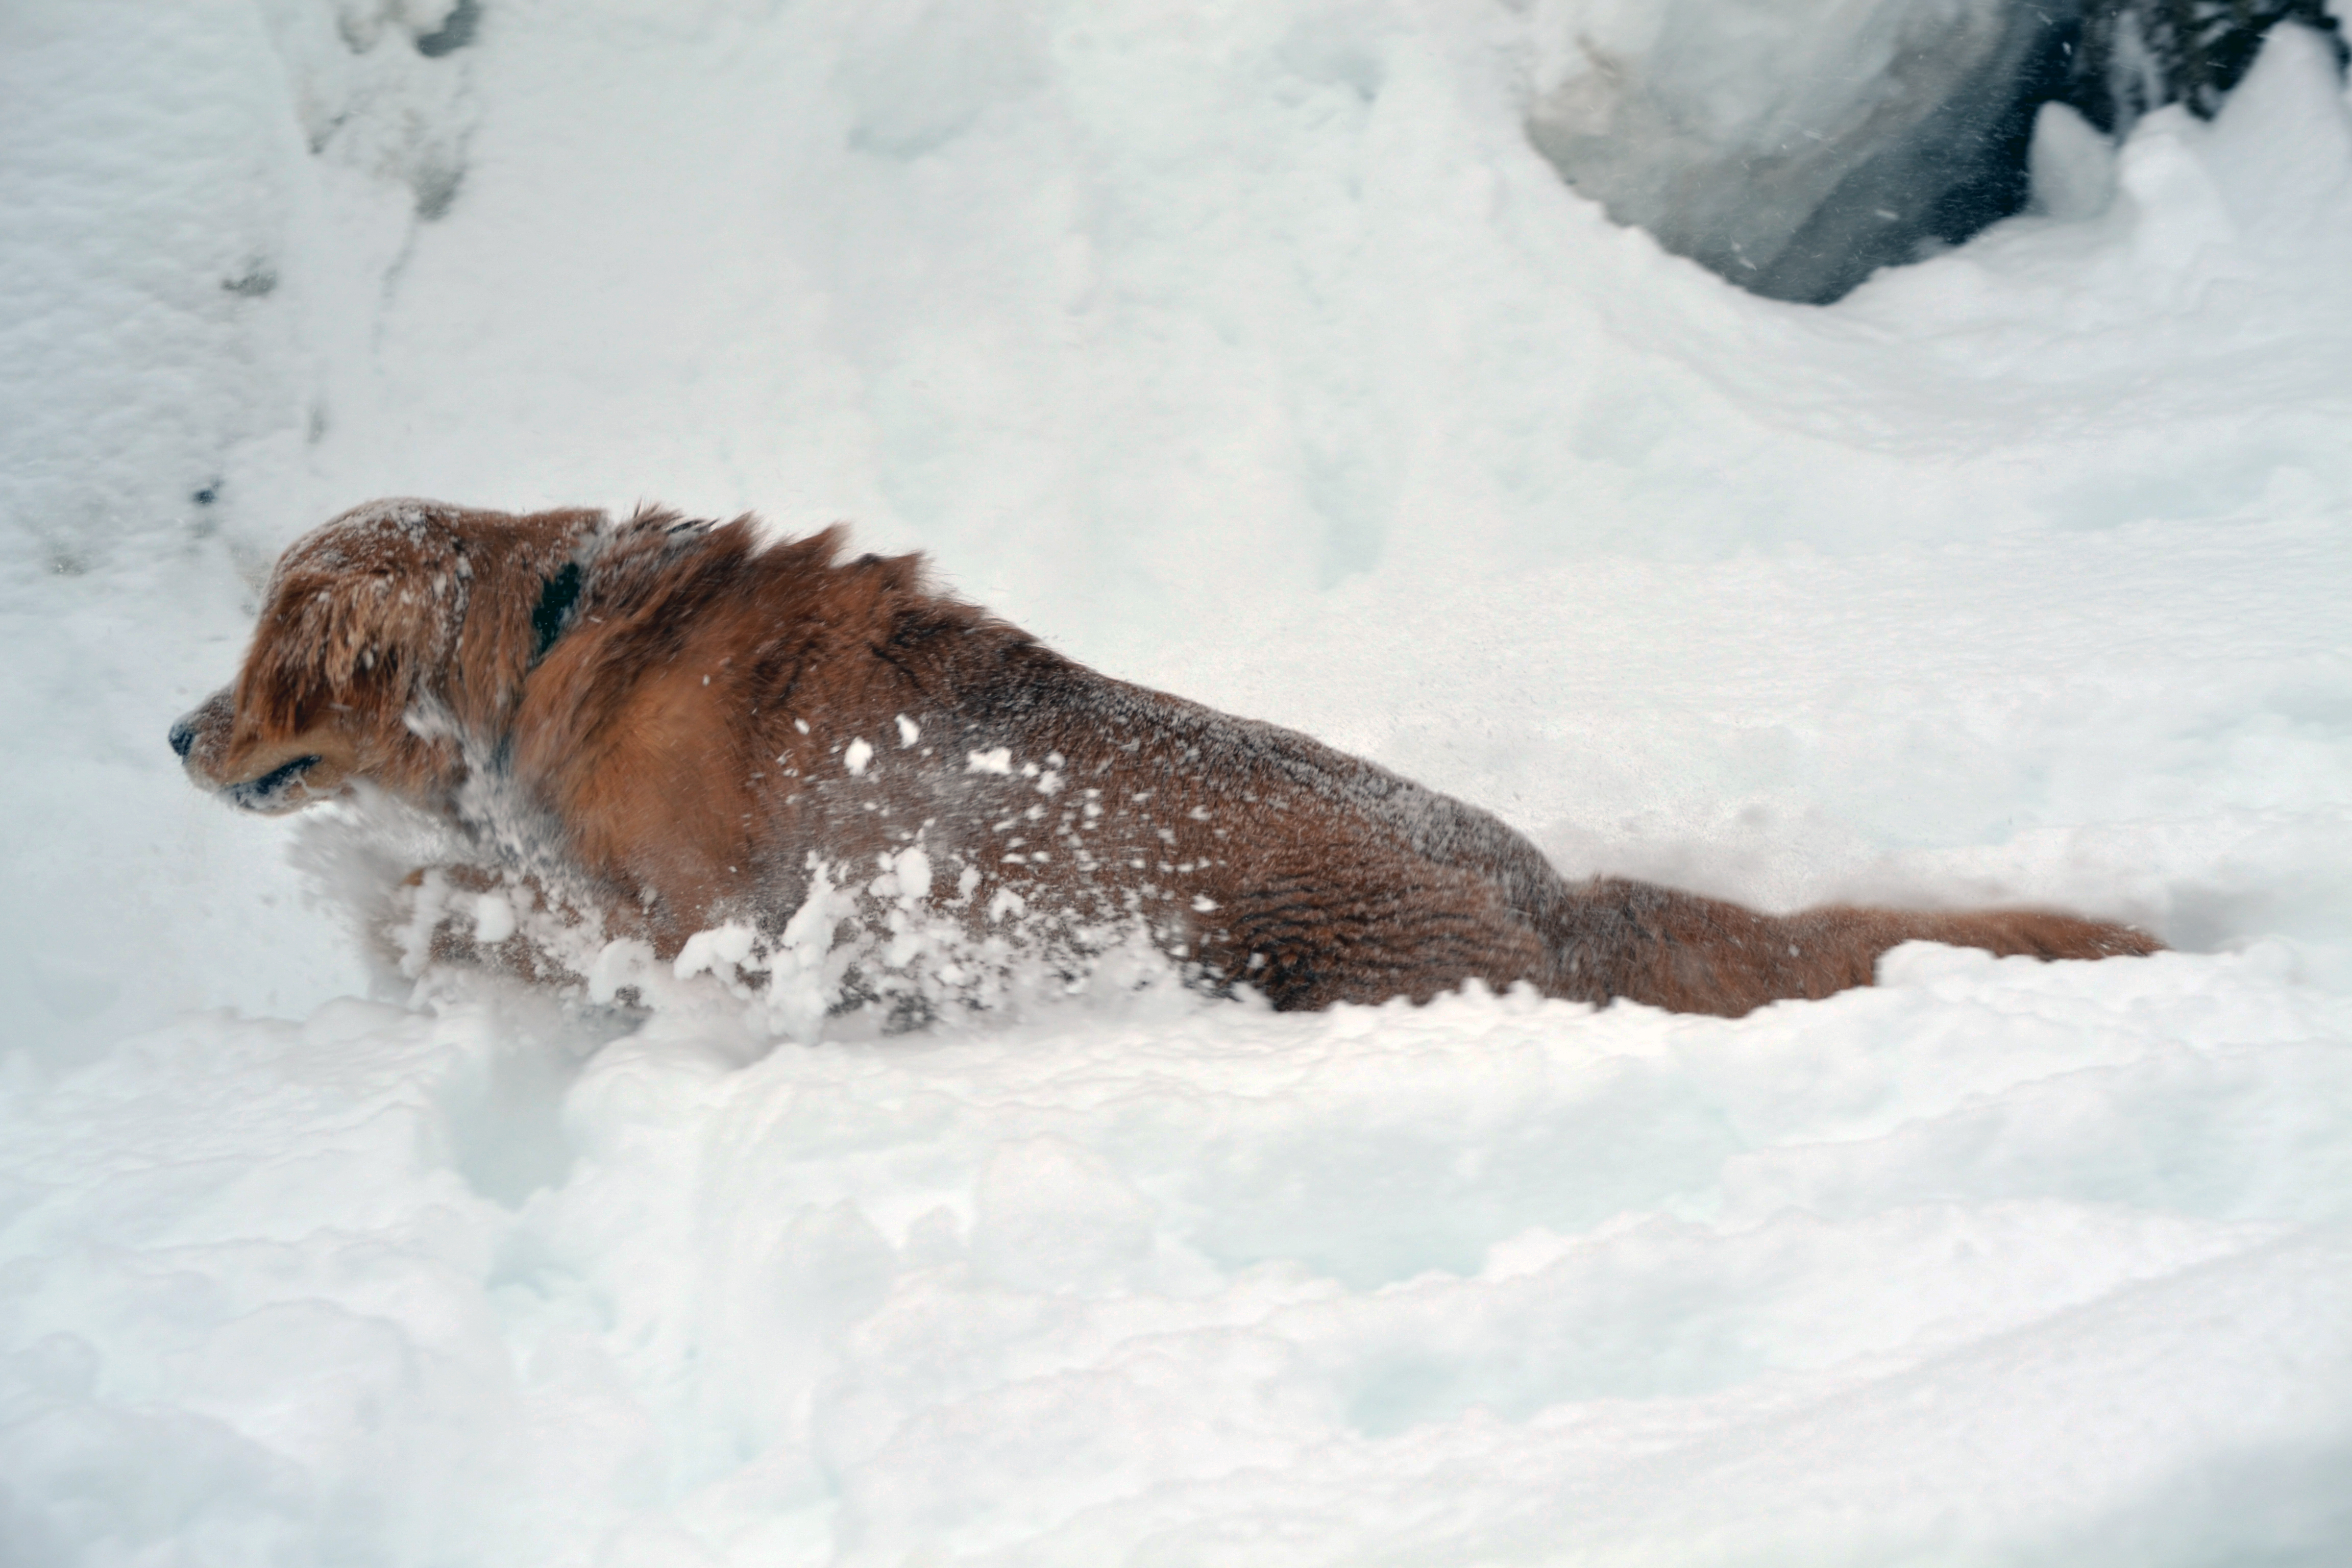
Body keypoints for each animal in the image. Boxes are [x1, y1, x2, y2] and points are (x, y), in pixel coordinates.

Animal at [174, 501, 2154, 1020]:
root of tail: (1551, 898)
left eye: (266, 655)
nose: (176, 729)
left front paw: (410, 929)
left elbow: (491, 913)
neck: (545, 640)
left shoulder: (695, 929)